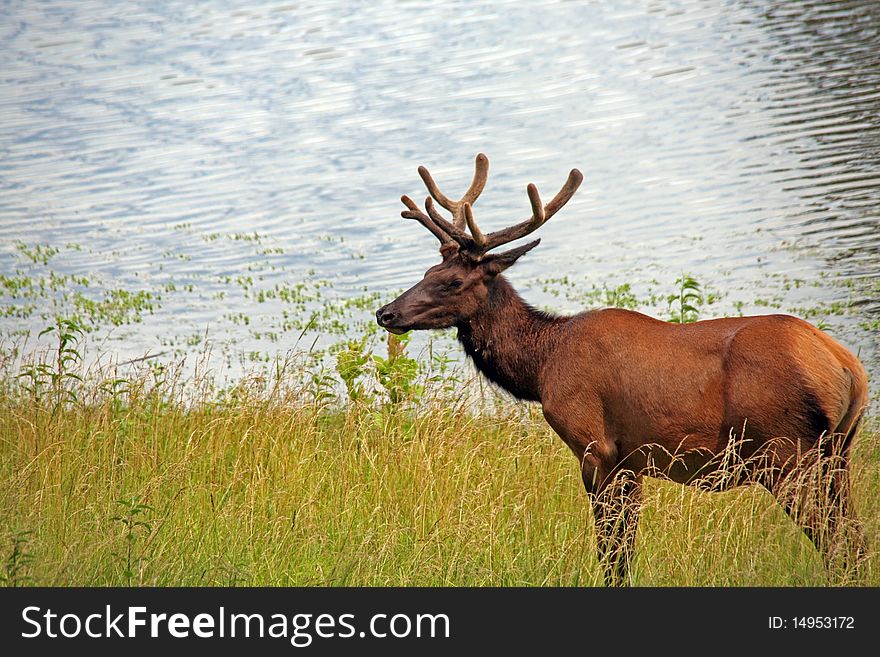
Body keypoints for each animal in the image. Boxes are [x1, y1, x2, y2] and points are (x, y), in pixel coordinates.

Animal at [374, 152, 868, 584]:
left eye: (453, 282)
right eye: (426, 272)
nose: (386, 313)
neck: (541, 367)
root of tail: (850, 371)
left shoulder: (596, 446)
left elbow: (613, 553)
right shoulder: (631, 459)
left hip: (787, 454)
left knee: (837, 543)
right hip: (836, 453)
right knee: (855, 541)